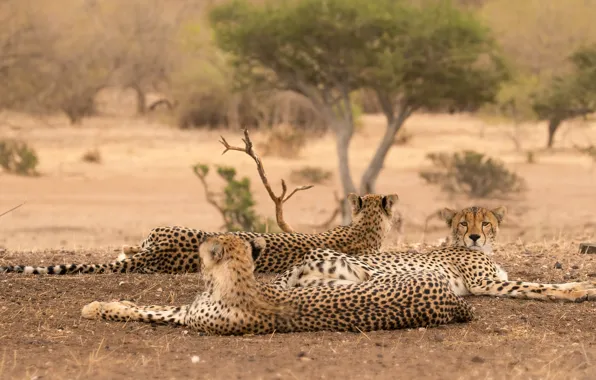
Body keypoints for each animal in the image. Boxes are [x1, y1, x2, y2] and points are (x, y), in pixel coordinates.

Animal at [80, 235, 474, 336]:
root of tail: (451, 300)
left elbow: (143, 311)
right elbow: (141, 305)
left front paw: (99, 307)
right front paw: (109, 303)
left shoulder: (186, 317)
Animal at [282, 206, 596, 302]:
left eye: (484, 222)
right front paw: (579, 292)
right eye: (463, 222)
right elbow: (536, 286)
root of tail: (302, 259)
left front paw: (584, 285)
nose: (474, 236)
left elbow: (544, 281)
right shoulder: (485, 283)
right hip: (370, 272)